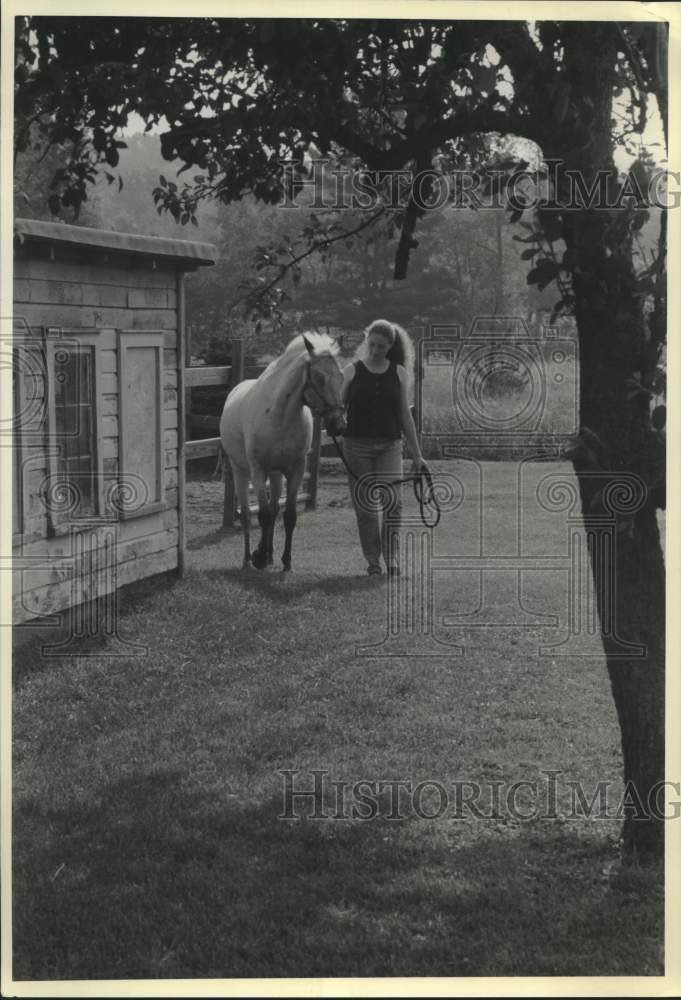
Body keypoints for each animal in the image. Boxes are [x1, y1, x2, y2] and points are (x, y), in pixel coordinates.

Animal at [219, 334, 346, 572]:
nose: (338, 425)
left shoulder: (295, 471)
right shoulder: (258, 471)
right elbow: (263, 515)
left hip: (276, 474)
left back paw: (268, 555)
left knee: (274, 507)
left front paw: (286, 561)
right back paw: (248, 559)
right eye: (319, 377)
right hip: (241, 471)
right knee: (247, 514)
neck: (279, 416)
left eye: (341, 376)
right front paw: (258, 557)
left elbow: (288, 516)